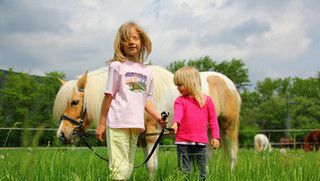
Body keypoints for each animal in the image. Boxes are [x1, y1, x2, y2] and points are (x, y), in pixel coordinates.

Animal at [53, 64, 241, 171]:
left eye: (75, 102)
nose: (61, 134)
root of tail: (230, 85)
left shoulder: (153, 134)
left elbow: (151, 166)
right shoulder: (142, 137)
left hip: (229, 126)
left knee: (232, 153)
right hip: (208, 130)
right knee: (207, 156)